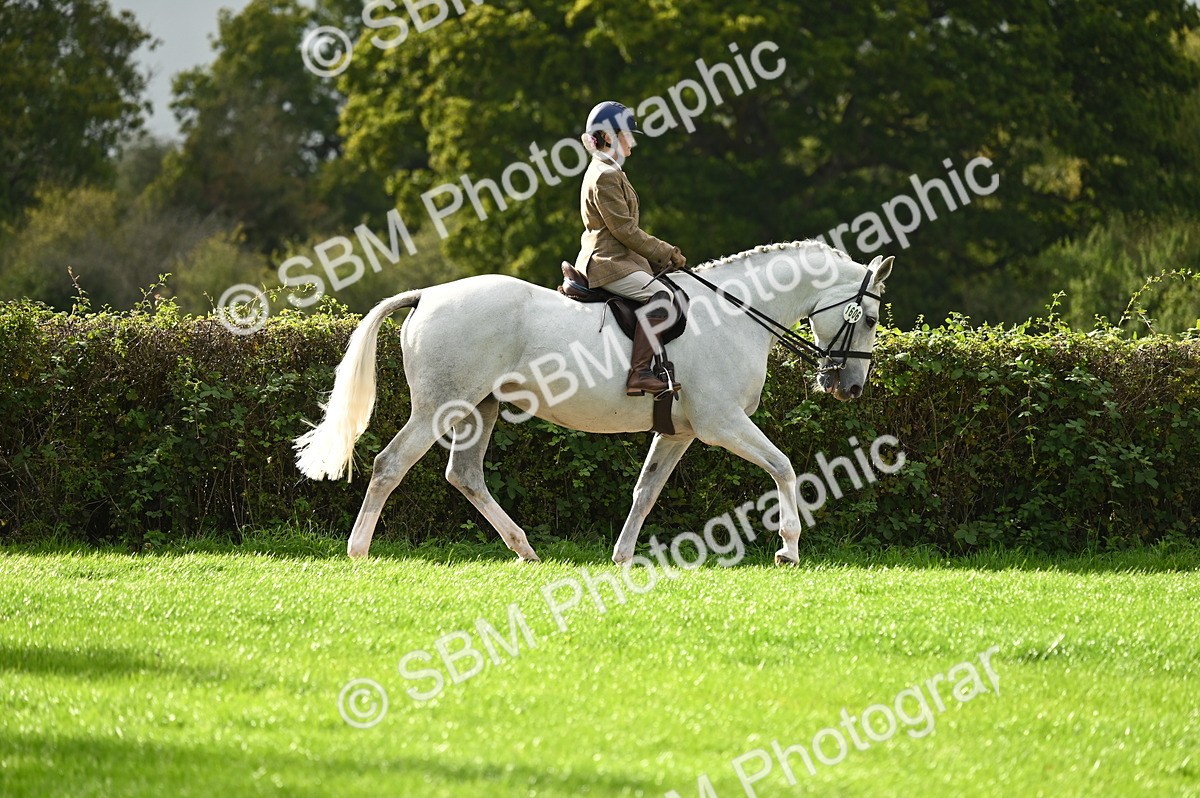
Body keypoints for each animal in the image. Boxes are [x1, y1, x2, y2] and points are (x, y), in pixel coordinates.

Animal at [294, 240, 894, 565]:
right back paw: (358, 550)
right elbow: (785, 467)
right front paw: (789, 548)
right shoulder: (722, 423)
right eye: (867, 317)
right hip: (439, 407)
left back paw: (525, 549)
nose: (850, 389)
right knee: (389, 464)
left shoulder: (678, 432)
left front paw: (623, 557)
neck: (735, 313)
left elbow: (645, 492)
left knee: (464, 474)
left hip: (479, 409)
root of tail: (429, 295)